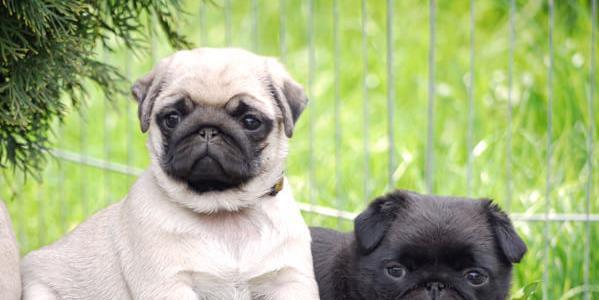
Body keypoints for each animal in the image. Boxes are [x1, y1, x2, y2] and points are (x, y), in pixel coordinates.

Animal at [20, 48, 318, 298]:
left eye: (250, 121)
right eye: (172, 118)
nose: (208, 129)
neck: (224, 212)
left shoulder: (290, 279)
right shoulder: (169, 284)